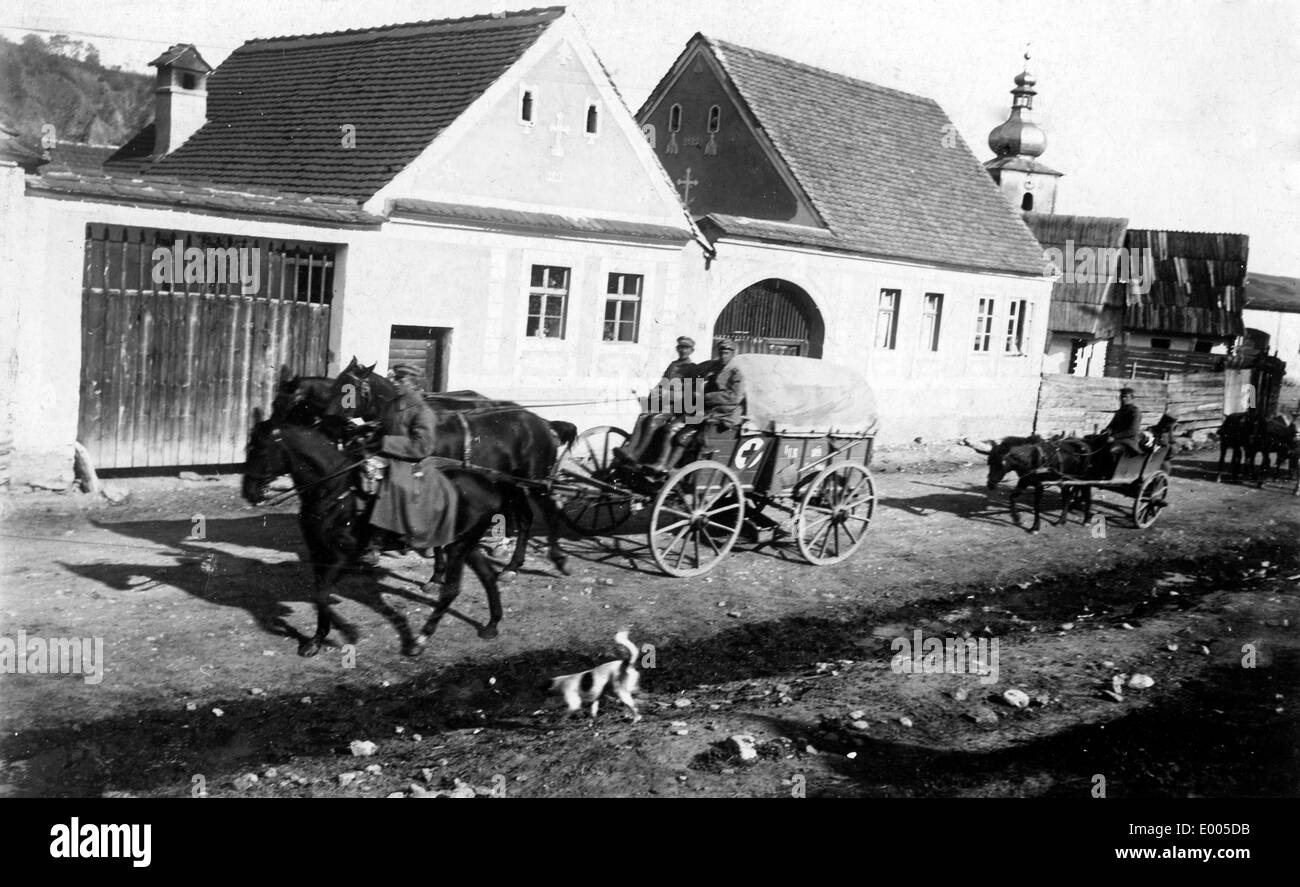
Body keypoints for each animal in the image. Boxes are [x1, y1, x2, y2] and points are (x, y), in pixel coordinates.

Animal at [244, 408, 512, 655]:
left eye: (260, 450)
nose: (249, 492)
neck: (335, 490)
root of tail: (490, 484)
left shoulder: (344, 557)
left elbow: (322, 594)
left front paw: (336, 635)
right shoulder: (318, 553)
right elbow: (319, 593)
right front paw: (318, 638)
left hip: (457, 547)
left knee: (452, 590)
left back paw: (420, 639)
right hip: (466, 544)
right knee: (488, 576)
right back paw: (492, 624)